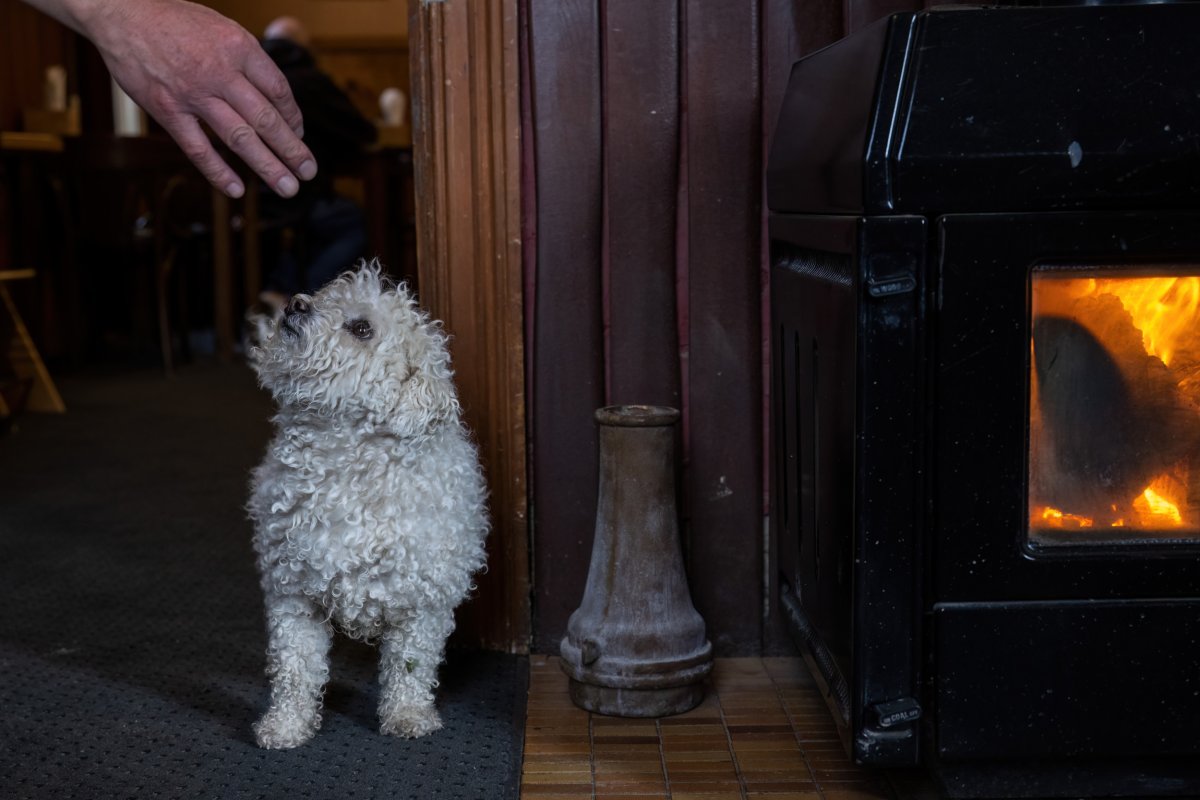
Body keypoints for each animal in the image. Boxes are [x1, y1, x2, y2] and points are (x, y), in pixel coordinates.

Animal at [243, 263, 487, 753]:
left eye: (361, 328)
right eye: (324, 295)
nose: (296, 303)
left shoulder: (423, 602)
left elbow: (410, 666)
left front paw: (407, 715)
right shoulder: (292, 594)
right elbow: (295, 668)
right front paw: (287, 725)